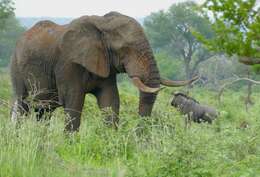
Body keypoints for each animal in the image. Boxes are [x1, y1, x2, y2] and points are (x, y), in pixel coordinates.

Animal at [9, 11, 197, 131]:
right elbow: (74, 101)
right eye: (125, 49)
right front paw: (70, 146)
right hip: (16, 68)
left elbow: (110, 100)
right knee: (23, 105)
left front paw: (111, 141)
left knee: (44, 111)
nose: (138, 136)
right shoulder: (68, 64)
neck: (102, 24)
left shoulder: (106, 63)